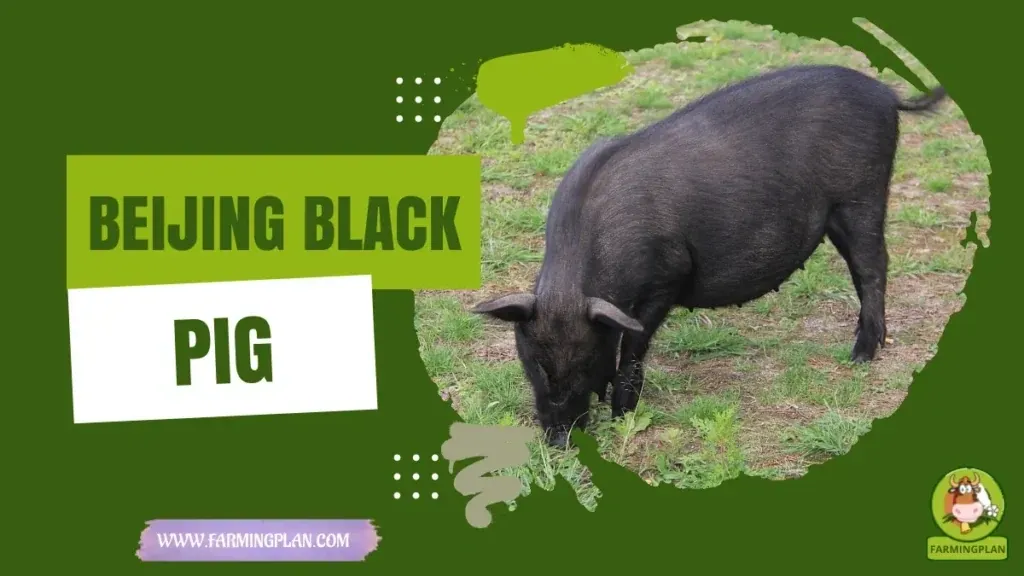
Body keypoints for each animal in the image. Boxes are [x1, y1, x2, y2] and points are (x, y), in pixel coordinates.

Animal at [471, 64, 948, 448]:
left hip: (862, 195)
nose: (559, 440)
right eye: (534, 362)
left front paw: (623, 414)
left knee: (873, 267)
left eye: (586, 361)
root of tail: (885, 92)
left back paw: (860, 356)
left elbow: (634, 346)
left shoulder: (667, 277)